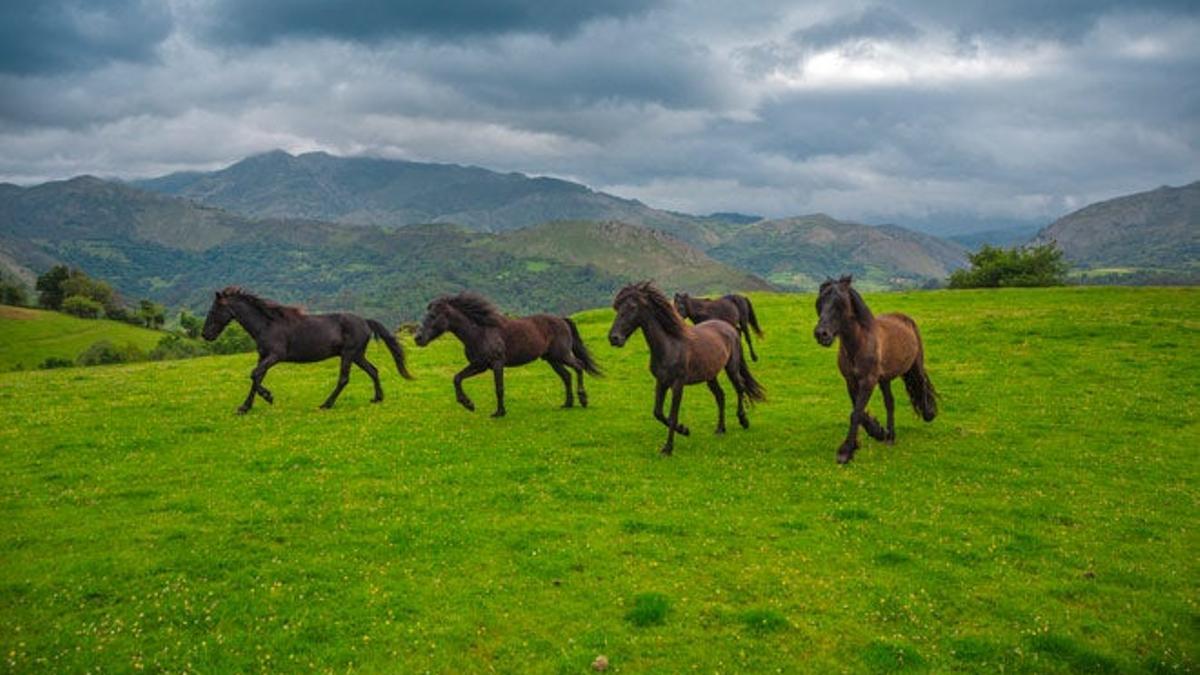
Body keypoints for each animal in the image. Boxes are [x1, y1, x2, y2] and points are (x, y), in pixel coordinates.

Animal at [201, 282, 412, 410]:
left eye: (213, 310)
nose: (205, 335)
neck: (267, 325)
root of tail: (365, 321)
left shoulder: (276, 355)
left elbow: (254, 374)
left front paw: (268, 396)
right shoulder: (263, 356)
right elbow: (257, 376)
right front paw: (245, 407)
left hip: (348, 354)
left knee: (344, 379)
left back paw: (326, 404)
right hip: (357, 355)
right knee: (373, 371)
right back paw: (377, 398)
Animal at [415, 290, 604, 415]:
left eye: (433, 316)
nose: (418, 338)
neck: (480, 332)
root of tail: (562, 320)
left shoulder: (496, 364)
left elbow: (499, 388)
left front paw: (499, 412)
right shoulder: (479, 365)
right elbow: (457, 378)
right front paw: (468, 404)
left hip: (562, 355)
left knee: (579, 366)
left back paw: (583, 399)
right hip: (552, 359)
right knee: (567, 376)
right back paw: (567, 403)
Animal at [604, 278, 763, 451]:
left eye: (632, 306)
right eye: (618, 307)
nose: (614, 338)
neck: (670, 345)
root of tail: (729, 328)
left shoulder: (678, 384)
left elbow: (673, 415)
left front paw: (668, 448)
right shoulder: (661, 382)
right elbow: (658, 413)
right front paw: (684, 430)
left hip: (731, 368)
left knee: (740, 387)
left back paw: (743, 420)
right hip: (710, 376)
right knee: (720, 396)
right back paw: (720, 428)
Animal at [816, 275, 936, 461]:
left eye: (840, 303)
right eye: (820, 302)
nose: (821, 334)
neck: (859, 344)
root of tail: (906, 319)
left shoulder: (868, 381)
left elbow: (856, 413)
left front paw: (845, 451)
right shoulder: (851, 381)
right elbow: (858, 412)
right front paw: (877, 433)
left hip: (915, 364)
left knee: (921, 383)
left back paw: (928, 413)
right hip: (885, 380)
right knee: (890, 403)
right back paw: (890, 436)